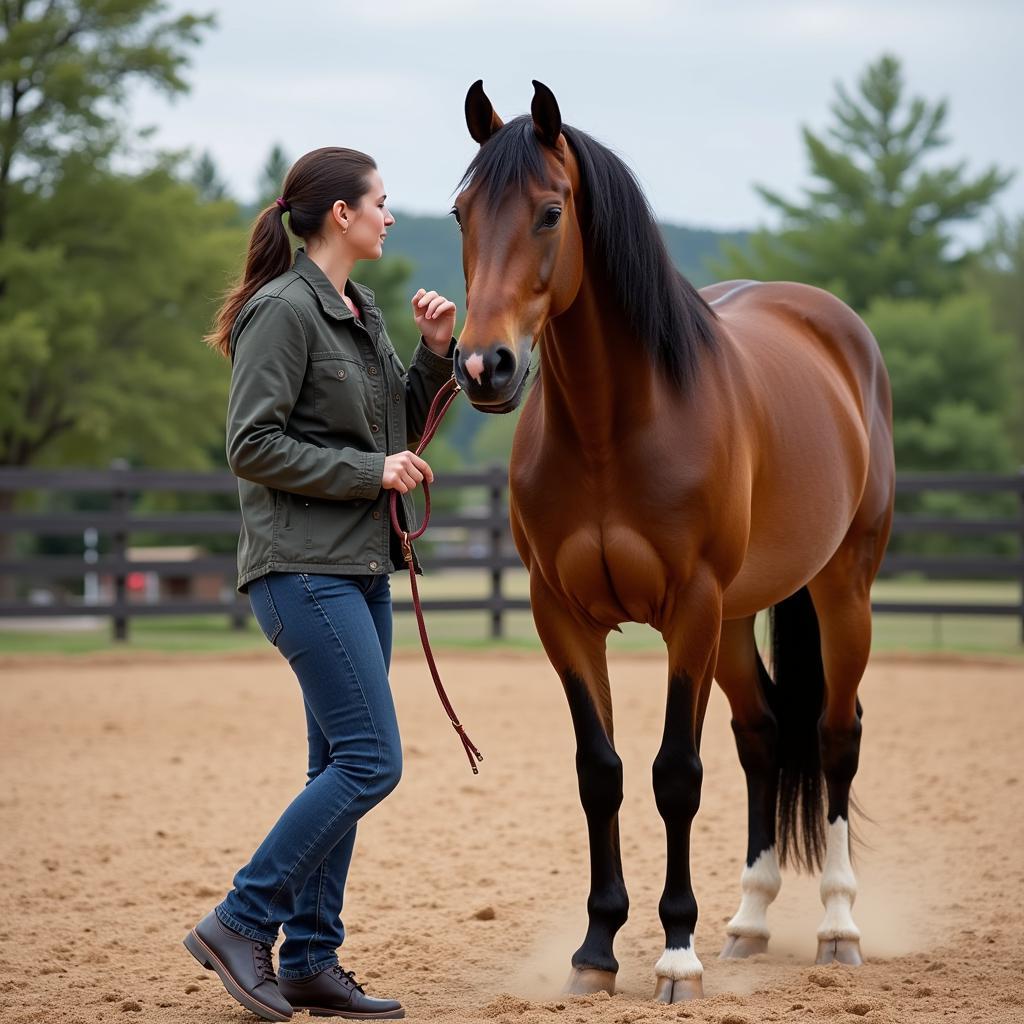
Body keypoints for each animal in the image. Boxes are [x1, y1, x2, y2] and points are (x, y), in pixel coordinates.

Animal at [452, 77, 892, 999]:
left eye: (550, 212)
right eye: (461, 212)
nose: (483, 367)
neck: (612, 426)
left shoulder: (688, 609)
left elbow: (675, 776)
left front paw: (675, 954)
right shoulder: (561, 616)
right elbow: (602, 773)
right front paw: (595, 950)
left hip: (841, 591)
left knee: (836, 734)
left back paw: (837, 926)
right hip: (736, 618)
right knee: (763, 733)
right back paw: (748, 922)